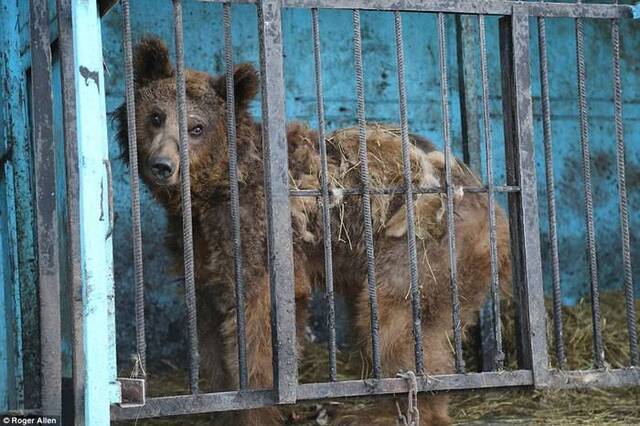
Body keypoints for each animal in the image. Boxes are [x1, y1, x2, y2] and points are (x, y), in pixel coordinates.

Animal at [115, 37, 512, 426]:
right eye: (155, 116)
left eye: (197, 127)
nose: (162, 165)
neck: (212, 191)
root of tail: (491, 204)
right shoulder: (202, 248)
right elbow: (210, 327)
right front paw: (222, 403)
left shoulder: (255, 238)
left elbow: (258, 329)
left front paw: (258, 408)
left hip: (421, 250)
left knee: (395, 323)